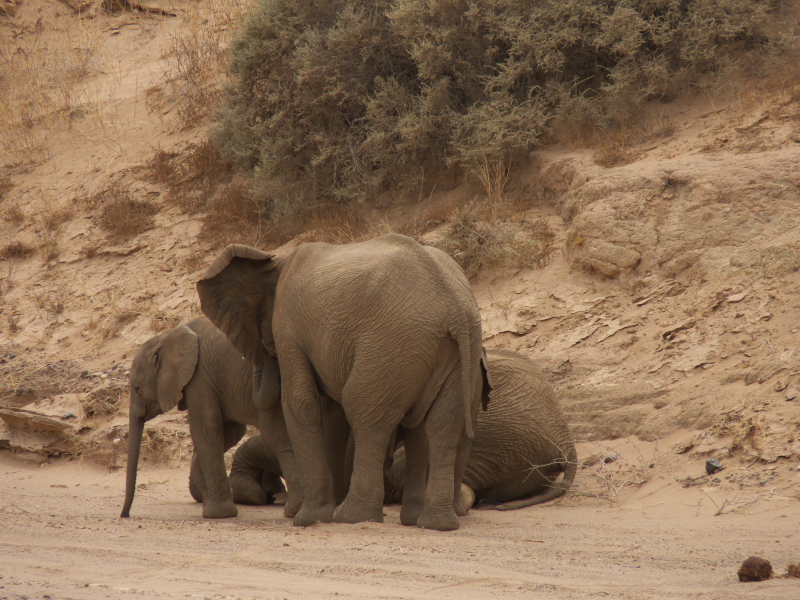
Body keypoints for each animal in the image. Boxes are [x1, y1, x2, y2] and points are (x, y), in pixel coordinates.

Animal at [119, 317, 302, 519]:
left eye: (137, 389)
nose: (125, 515)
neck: (166, 337)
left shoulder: (200, 377)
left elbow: (206, 429)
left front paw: (218, 514)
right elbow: (230, 432)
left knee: (276, 437)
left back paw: (293, 509)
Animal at [196, 233, 490, 531]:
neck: (275, 262)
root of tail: (454, 308)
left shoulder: (289, 327)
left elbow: (301, 403)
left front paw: (309, 518)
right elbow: (333, 416)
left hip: (391, 347)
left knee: (367, 415)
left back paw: (353, 516)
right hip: (452, 351)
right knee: (437, 425)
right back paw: (432, 523)